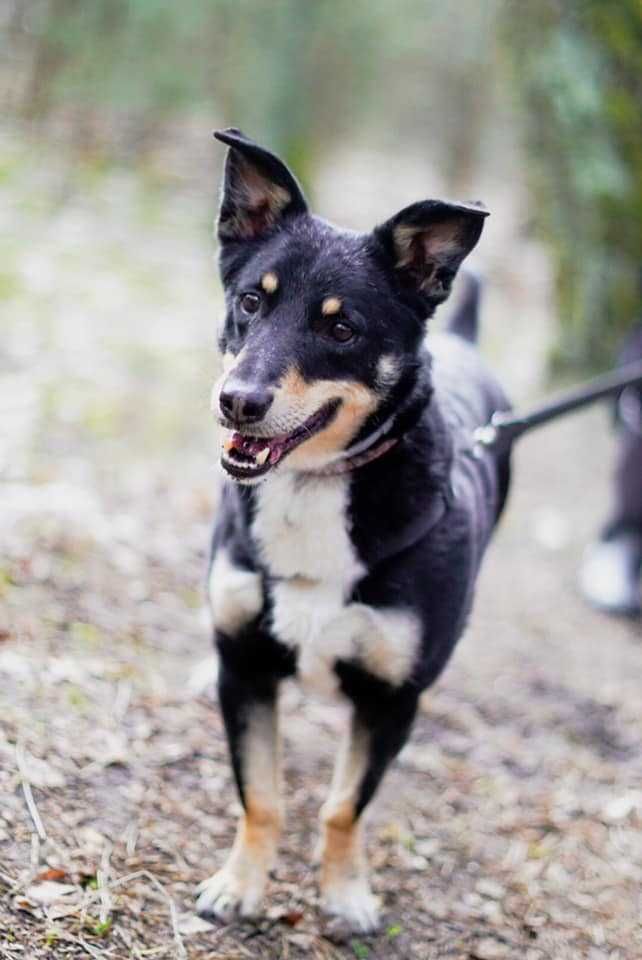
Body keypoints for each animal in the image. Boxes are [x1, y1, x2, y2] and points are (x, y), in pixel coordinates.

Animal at [195, 127, 510, 928]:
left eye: (341, 328)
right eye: (251, 301)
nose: (237, 401)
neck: (314, 485)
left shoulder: (391, 699)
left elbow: (344, 806)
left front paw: (344, 893)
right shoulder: (243, 667)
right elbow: (261, 794)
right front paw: (241, 883)